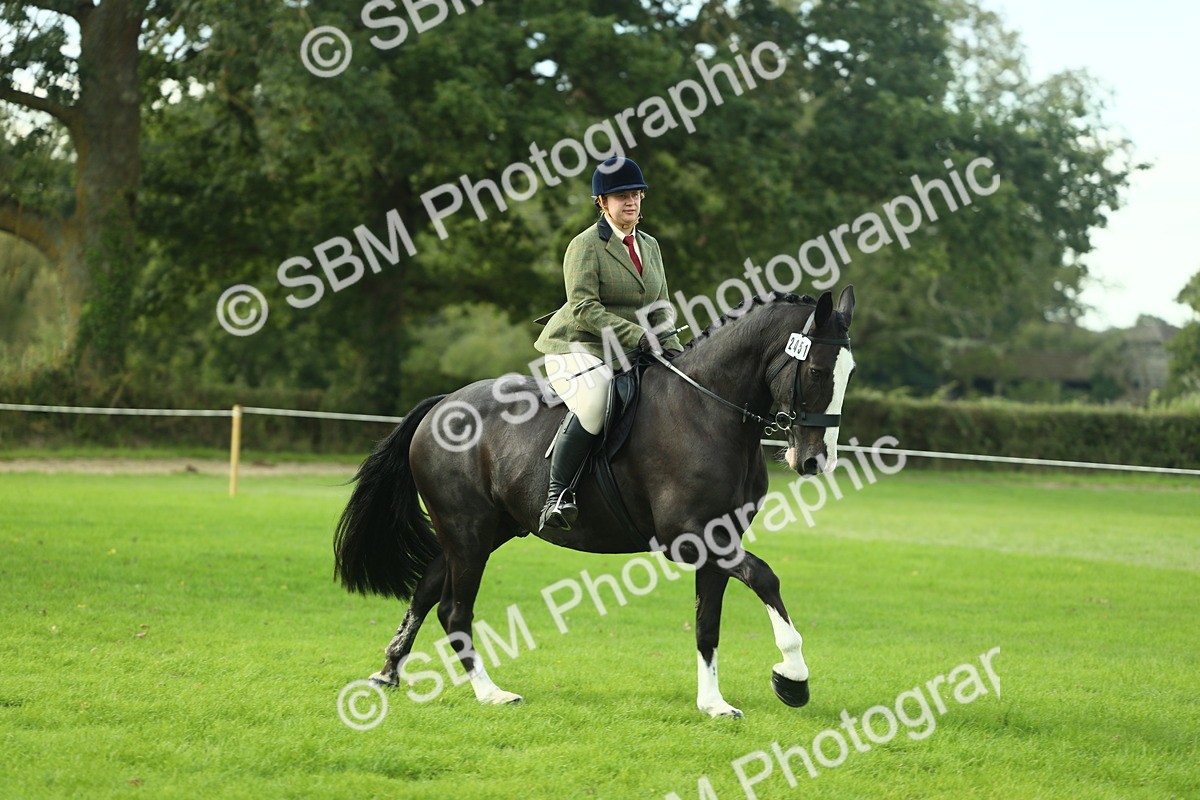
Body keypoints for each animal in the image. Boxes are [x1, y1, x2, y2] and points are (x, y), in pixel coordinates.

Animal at [334, 286, 856, 717]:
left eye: (848, 373)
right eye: (815, 371)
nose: (815, 461)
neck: (711, 411)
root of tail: (441, 404)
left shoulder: (719, 537)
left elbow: (708, 624)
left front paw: (713, 704)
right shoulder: (690, 538)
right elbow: (766, 577)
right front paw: (793, 679)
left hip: (482, 531)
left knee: (425, 592)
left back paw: (388, 672)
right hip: (468, 531)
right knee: (453, 610)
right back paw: (492, 694)